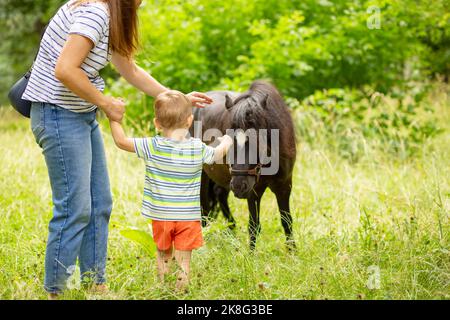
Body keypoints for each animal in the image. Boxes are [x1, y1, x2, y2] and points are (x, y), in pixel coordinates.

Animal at [192, 80, 298, 250]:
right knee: (204, 208)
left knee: (219, 194)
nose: (238, 186)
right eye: (228, 141)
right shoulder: (253, 191)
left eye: (257, 142)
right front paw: (251, 254)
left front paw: (292, 252)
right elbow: (254, 225)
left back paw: (232, 231)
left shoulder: (284, 186)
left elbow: (287, 221)